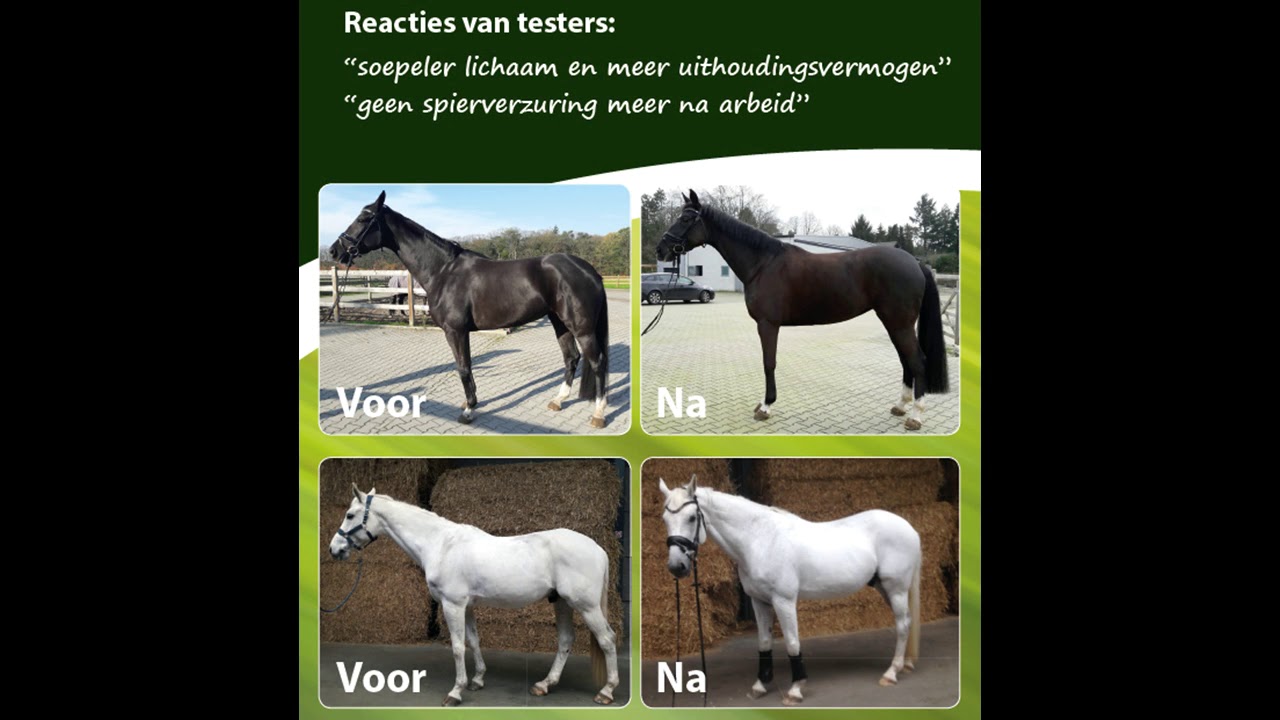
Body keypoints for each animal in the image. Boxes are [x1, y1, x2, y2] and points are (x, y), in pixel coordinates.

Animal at [328, 485, 621, 706]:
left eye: (350, 515)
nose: (334, 549)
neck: (441, 544)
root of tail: (598, 549)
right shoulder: (466, 606)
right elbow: (473, 640)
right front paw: (477, 680)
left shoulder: (452, 604)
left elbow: (458, 647)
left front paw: (455, 692)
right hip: (561, 602)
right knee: (566, 640)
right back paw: (545, 685)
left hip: (586, 606)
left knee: (607, 639)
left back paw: (606, 691)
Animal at [329, 191, 611, 428]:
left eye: (363, 218)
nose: (334, 250)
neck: (443, 271)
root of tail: (590, 270)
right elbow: (465, 366)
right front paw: (469, 402)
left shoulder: (455, 331)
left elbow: (463, 367)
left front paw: (468, 411)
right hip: (559, 322)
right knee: (571, 358)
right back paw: (558, 400)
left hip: (581, 328)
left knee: (597, 361)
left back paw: (598, 414)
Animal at [655, 190, 948, 431]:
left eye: (685, 219)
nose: (661, 249)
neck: (763, 263)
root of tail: (915, 263)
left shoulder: (767, 324)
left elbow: (768, 363)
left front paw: (765, 407)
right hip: (893, 322)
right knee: (906, 360)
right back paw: (901, 406)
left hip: (899, 323)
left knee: (917, 361)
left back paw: (916, 416)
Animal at [659, 475, 921, 706]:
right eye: (664, 519)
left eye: (692, 517)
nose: (676, 567)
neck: (760, 539)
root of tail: (909, 527)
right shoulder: (759, 601)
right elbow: (764, 642)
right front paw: (760, 686)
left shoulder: (783, 601)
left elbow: (793, 643)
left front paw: (795, 689)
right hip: (885, 588)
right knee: (907, 621)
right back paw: (905, 665)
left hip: (896, 588)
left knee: (902, 624)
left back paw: (891, 673)